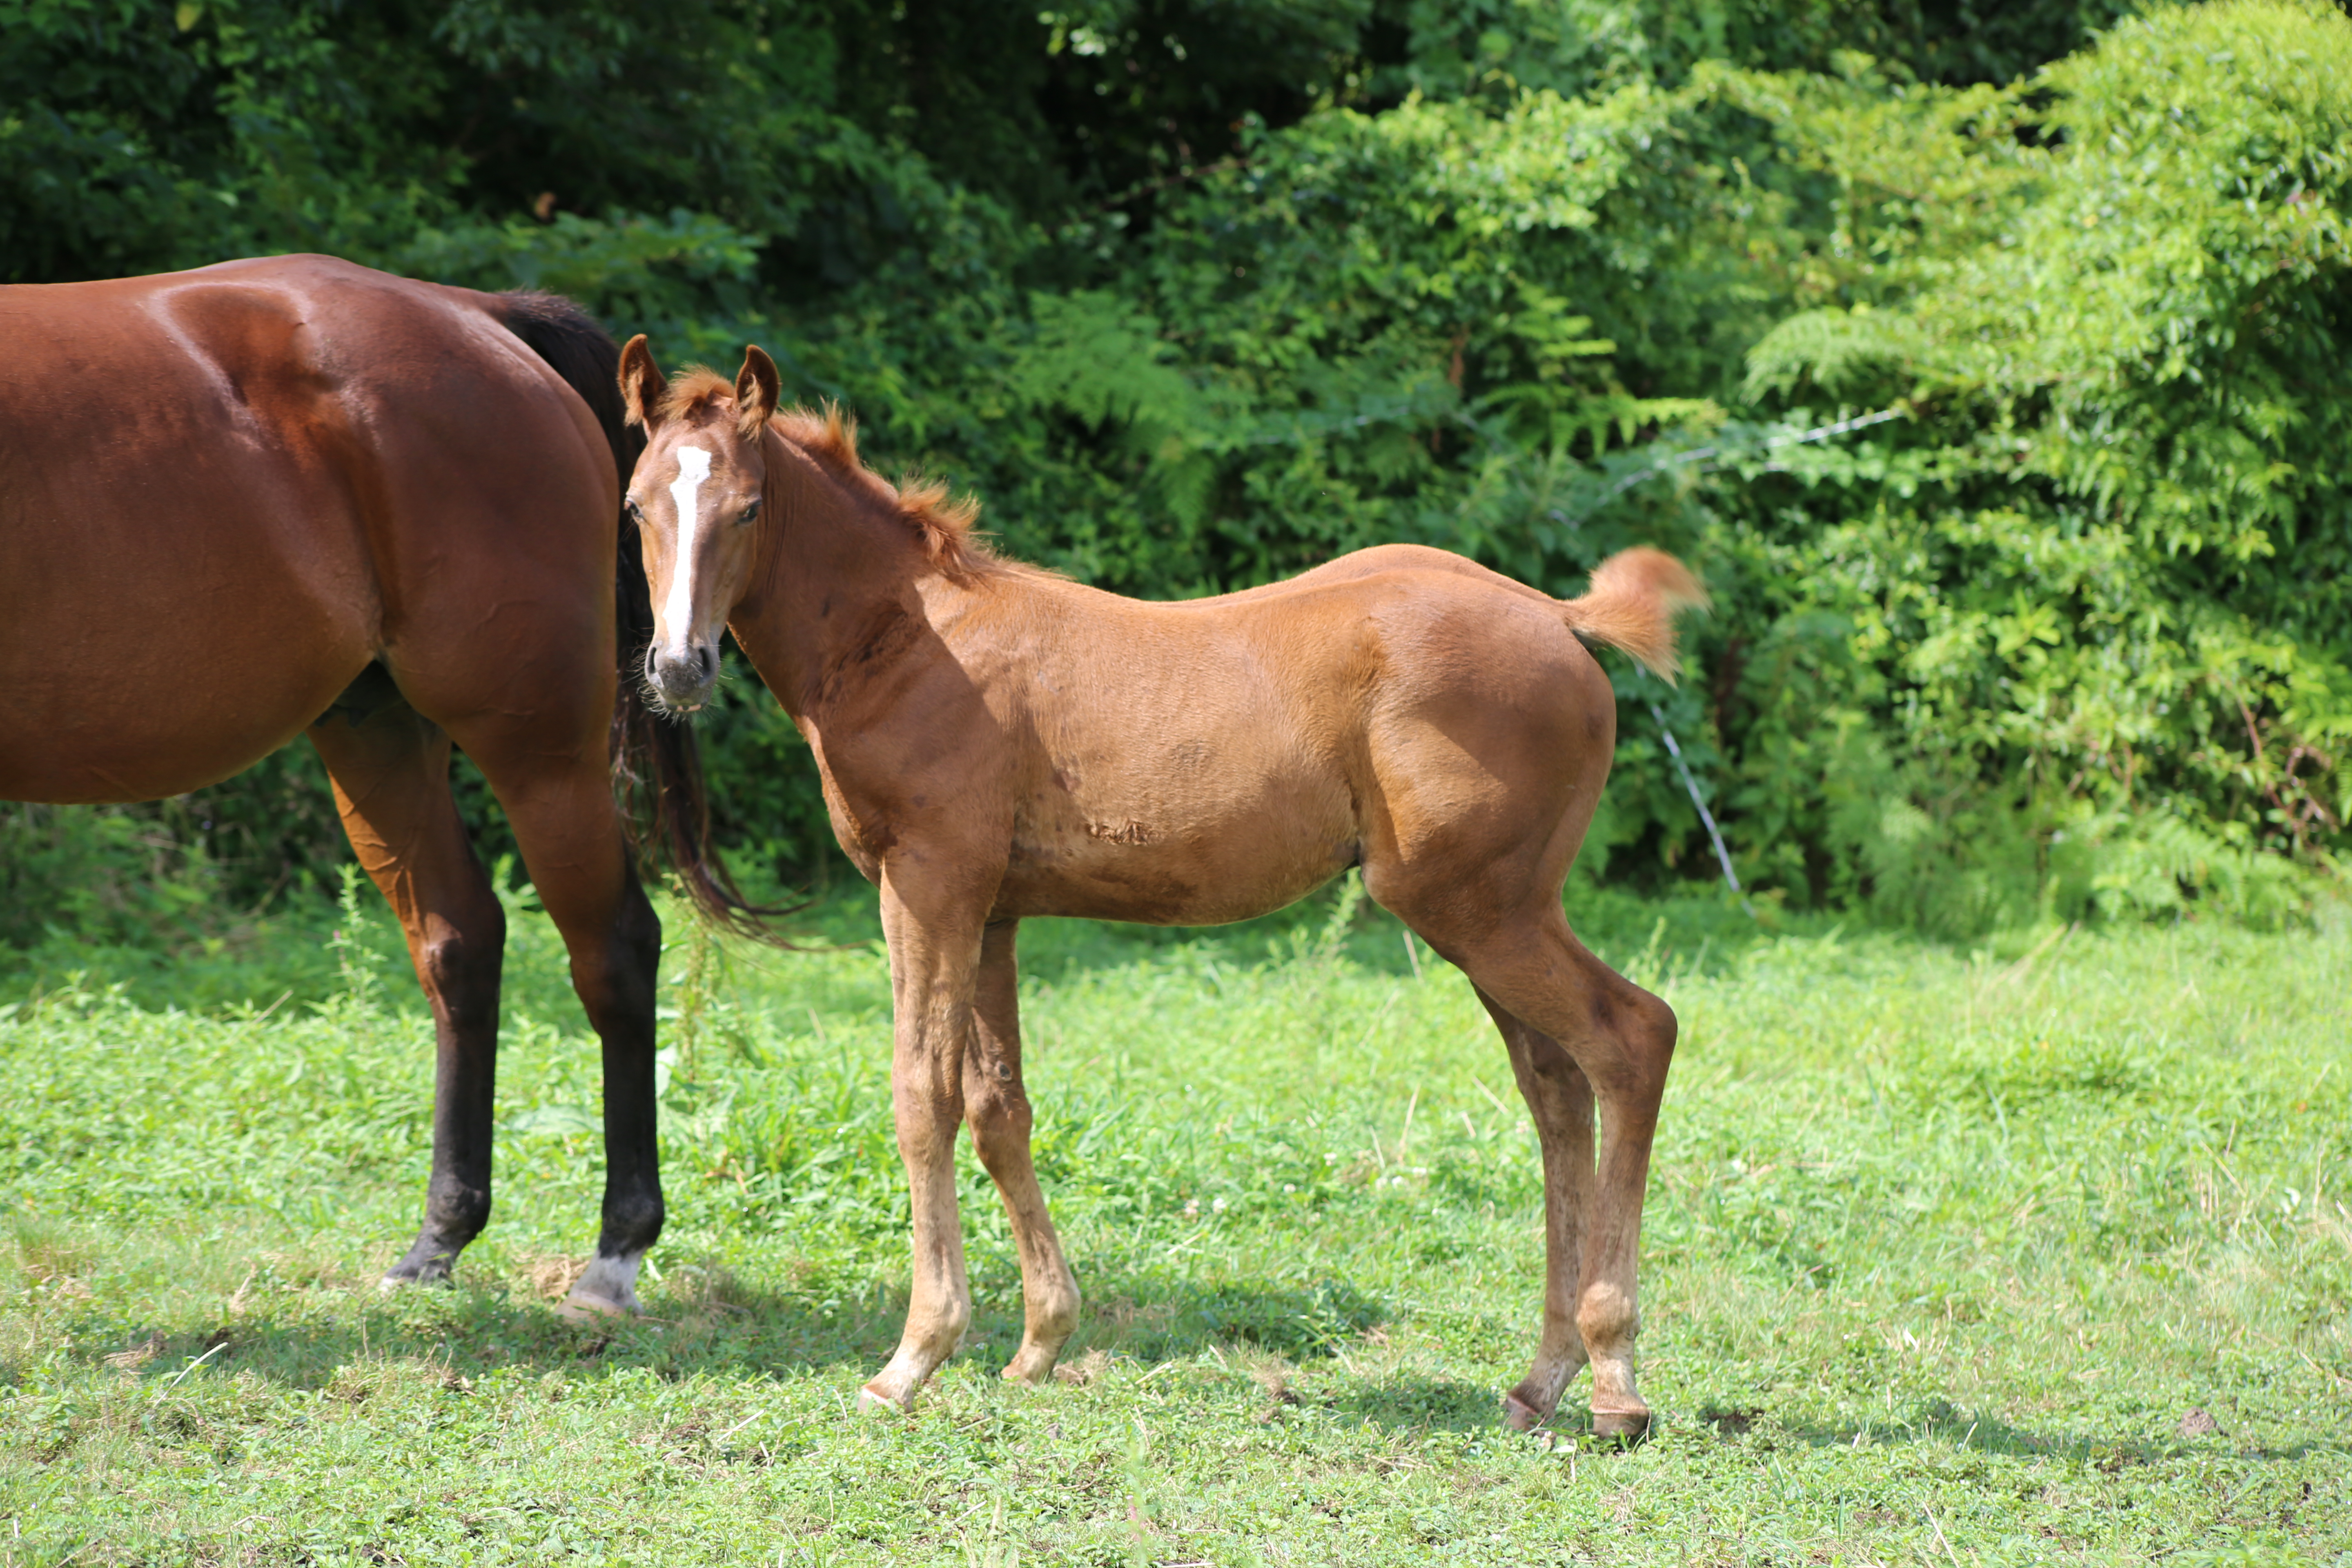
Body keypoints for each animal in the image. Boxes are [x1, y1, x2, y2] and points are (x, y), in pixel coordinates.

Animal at [0, 261, 743, 1326]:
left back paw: (614, 1254)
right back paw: (439, 1241)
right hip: (375, 733)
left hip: (537, 748)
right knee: (461, 944)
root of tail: (481, 314)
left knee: (614, 948)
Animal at [616, 341, 1703, 1439]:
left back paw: (1615, 1376)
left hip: (1476, 908)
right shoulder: (995, 909)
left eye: (748, 507)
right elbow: (998, 1104)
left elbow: (922, 1095)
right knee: (1557, 1086)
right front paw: (1039, 1343)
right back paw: (1542, 1377)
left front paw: (914, 1355)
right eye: (635, 506)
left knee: (1630, 1037)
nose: (679, 667)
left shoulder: (926, 884)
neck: (908, 641)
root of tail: (1559, 617)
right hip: (1491, 914)